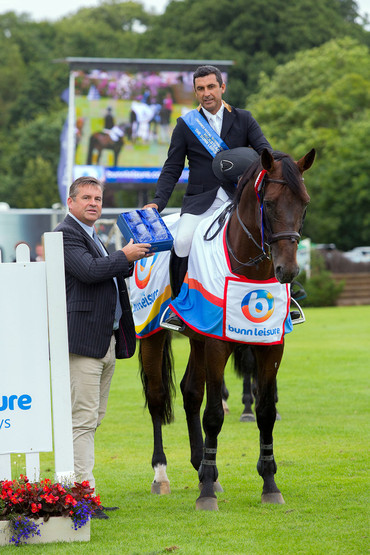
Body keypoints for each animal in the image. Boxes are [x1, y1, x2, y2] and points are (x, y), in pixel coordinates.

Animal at [139, 147, 316, 508]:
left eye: (304, 203)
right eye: (270, 204)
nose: (288, 270)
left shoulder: (270, 345)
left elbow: (266, 410)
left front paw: (269, 484)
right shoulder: (218, 345)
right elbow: (213, 415)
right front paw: (206, 492)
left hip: (197, 339)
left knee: (190, 392)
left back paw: (200, 466)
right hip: (152, 335)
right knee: (158, 397)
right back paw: (162, 474)